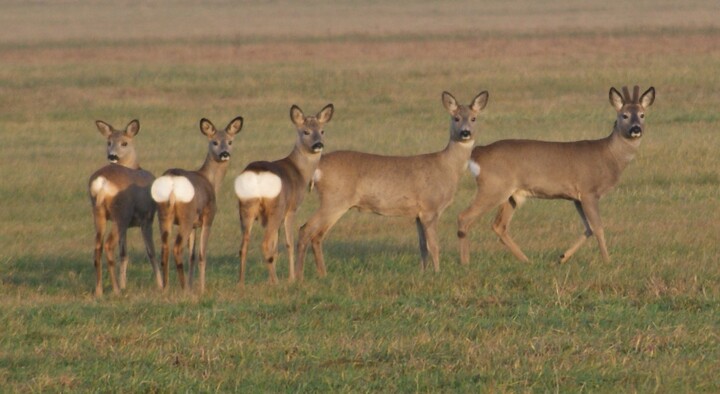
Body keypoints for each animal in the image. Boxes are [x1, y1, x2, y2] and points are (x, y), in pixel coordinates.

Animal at [87, 119, 162, 296]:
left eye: (124, 143)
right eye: (108, 142)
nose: (112, 156)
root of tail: (102, 183)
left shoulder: (128, 226)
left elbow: (124, 253)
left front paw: (123, 284)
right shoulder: (147, 218)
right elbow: (151, 252)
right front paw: (161, 285)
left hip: (99, 213)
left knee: (98, 247)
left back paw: (99, 291)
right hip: (120, 214)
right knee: (108, 245)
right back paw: (115, 290)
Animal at [150, 117, 243, 292]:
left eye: (230, 141)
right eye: (214, 142)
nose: (224, 153)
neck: (211, 181)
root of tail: (172, 184)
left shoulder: (194, 225)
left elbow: (192, 256)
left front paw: (192, 285)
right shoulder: (208, 218)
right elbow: (201, 254)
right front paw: (201, 288)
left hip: (163, 215)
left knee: (165, 248)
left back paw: (166, 287)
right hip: (186, 215)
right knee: (176, 248)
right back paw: (183, 288)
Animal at [236, 103, 334, 284]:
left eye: (322, 131)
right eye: (306, 131)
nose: (318, 144)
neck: (300, 172)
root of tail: (257, 175)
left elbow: (276, 247)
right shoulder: (292, 208)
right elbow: (288, 243)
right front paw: (292, 278)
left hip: (246, 208)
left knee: (244, 245)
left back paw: (241, 283)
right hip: (276, 207)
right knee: (265, 244)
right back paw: (276, 282)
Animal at [294, 91, 490, 280]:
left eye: (474, 118)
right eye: (455, 118)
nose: (465, 133)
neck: (447, 167)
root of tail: (317, 168)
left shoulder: (418, 214)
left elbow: (422, 246)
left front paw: (423, 273)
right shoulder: (430, 208)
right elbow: (434, 245)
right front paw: (437, 273)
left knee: (317, 235)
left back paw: (322, 274)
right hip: (334, 200)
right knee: (305, 229)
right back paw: (299, 276)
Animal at [458, 85, 656, 266]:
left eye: (642, 114)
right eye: (624, 115)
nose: (636, 129)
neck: (609, 155)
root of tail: (478, 153)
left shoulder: (576, 198)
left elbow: (588, 228)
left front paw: (562, 257)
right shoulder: (589, 191)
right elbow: (598, 227)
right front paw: (608, 261)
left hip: (511, 195)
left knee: (499, 226)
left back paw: (526, 260)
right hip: (493, 187)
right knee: (464, 217)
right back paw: (465, 262)